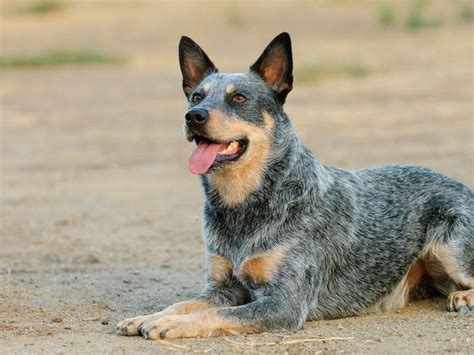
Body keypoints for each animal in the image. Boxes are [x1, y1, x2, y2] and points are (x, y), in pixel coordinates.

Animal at [115, 32, 474, 340]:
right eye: (195, 96)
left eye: (239, 98)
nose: (194, 116)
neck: (245, 206)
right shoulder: (222, 287)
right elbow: (185, 303)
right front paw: (149, 316)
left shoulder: (285, 301)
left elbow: (216, 314)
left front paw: (171, 324)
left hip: (449, 244)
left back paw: (463, 297)